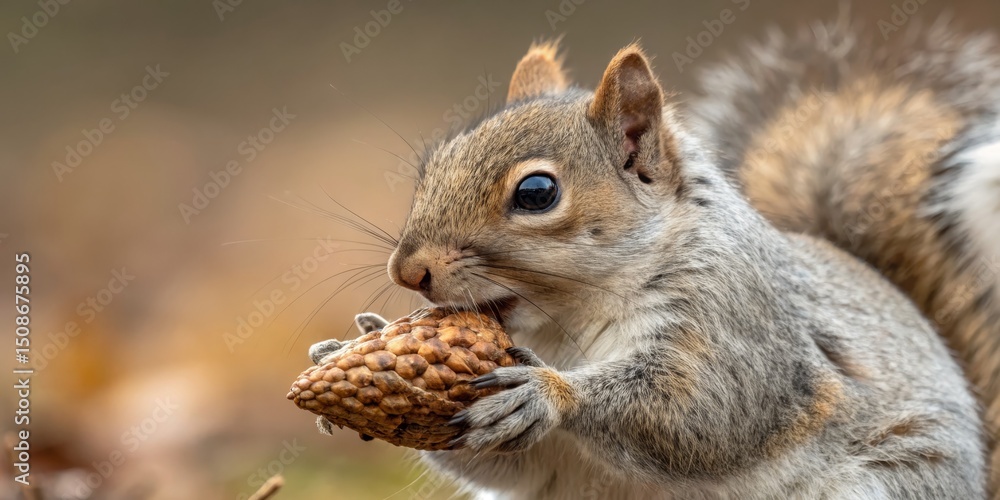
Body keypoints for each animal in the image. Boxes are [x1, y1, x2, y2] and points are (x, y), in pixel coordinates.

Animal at [309, 18, 999, 500]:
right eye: (433, 164)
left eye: (537, 193)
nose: (407, 271)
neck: (566, 325)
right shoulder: (537, 457)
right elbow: (504, 463)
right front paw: (353, 343)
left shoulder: (735, 319)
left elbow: (703, 411)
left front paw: (549, 393)